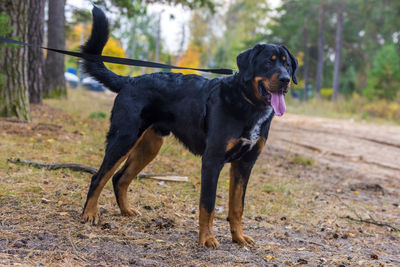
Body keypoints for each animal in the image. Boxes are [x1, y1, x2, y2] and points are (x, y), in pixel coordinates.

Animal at [81, 6, 296, 249]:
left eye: (287, 64)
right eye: (268, 62)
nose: (286, 79)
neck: (248, 104)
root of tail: (130, 81)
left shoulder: (245, 164)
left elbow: (237, 207)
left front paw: (238, 237)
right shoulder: (212, 161)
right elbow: (208, 205)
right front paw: (207, 238)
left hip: (149, 146)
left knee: (120, 178)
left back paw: (126, 210)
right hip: (123, 138)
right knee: (99, 177)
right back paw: (89, 214)